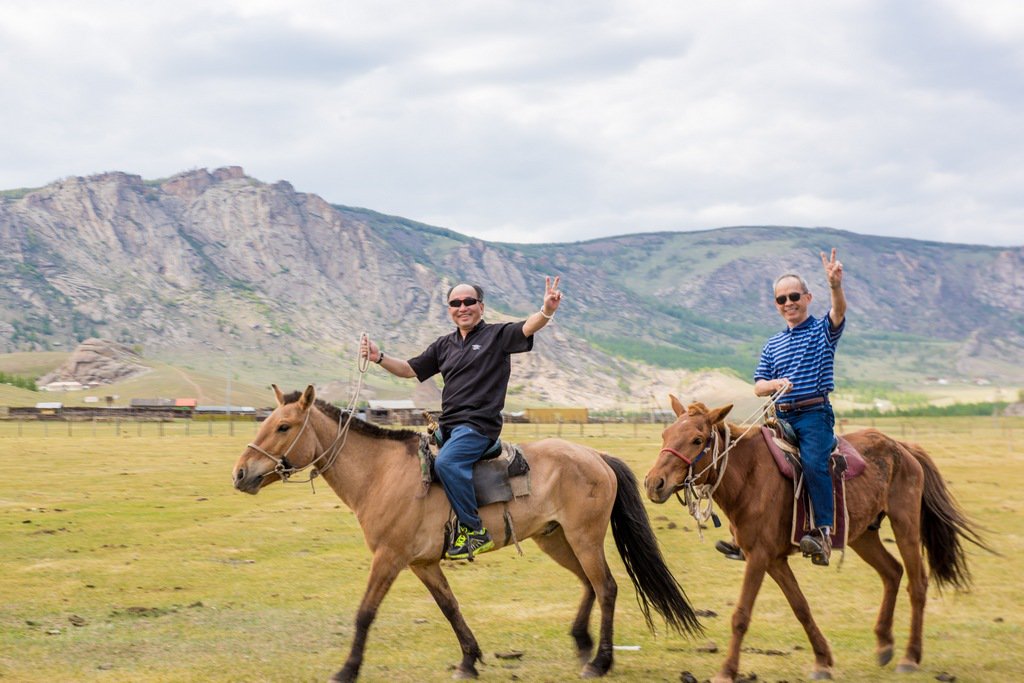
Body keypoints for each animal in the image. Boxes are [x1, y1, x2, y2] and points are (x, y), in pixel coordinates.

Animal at [233, 387, 704, 679]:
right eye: (265, 422)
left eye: (282, 427)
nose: (240, 473)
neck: (381, 473)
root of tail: (596, 456)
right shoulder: (422, 564)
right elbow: (450, 607)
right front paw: (469, 659)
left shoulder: (389, 558)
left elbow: (365, 613)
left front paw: (347, 670)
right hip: (554, 538)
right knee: (589, 584)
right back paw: (582, 641)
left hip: (583, 537)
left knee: (605, 587)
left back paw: (600, 662)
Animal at [643, 397, 987, 679]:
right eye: (665, 435)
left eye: (697, 439)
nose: (653, 483)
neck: (749, 475)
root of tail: (903, 447)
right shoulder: (774, 559)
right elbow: (801, 607)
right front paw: (823, 661)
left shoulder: (759, 556)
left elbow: (741, 615)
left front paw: (727, 671)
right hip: (861, 535)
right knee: (892, 572)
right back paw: (884, 645)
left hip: (905, 526)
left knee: (917, 583)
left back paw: (910, 657)